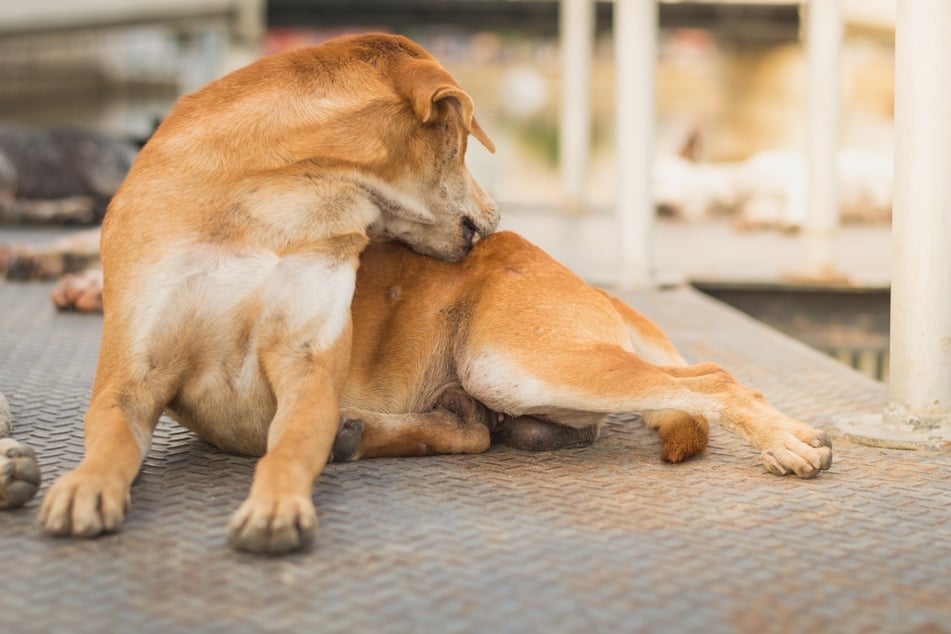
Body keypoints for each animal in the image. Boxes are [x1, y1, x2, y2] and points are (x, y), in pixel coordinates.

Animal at [34, 32, 502, 552]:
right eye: (462, 145)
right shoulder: (131, 376)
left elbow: (290, 448)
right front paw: (87, 484)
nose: (496, 216)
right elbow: (109, 443)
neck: (272, 204)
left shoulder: (307, 364)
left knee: (472, 432)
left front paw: (277, 503)